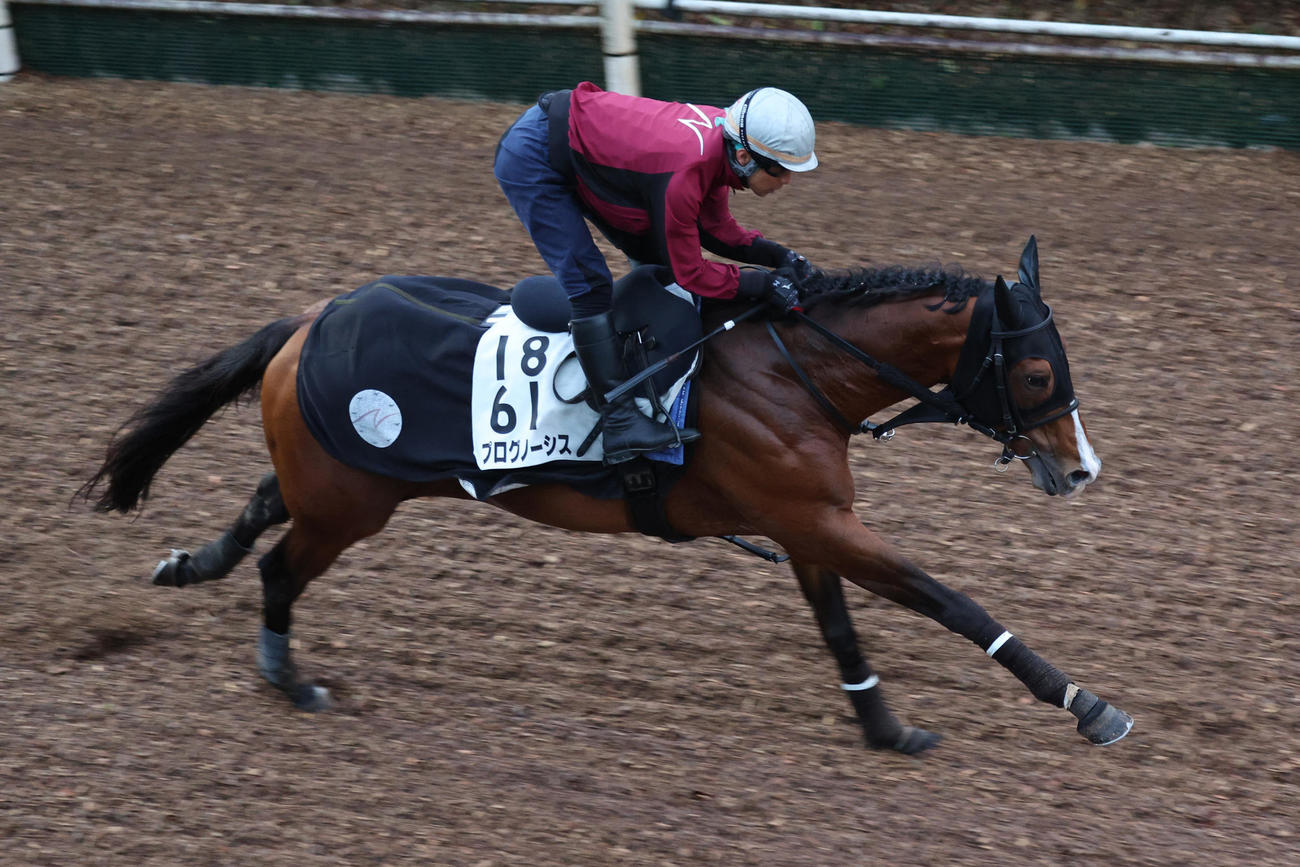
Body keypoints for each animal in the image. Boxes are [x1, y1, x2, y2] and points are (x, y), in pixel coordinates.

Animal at [81, 237, 1132, 755]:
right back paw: (286, 674)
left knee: (266, 501)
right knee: (279, 567)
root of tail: (309, 320)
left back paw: (190, 564)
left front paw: (883, 726)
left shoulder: (805, 522)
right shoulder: (815, 517)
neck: (790, 370)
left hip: (343, 479)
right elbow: (950, 600)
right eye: (1038, 373)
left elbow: (840, 627)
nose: (1082, 467)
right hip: (354, 503)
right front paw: (1085, 703)